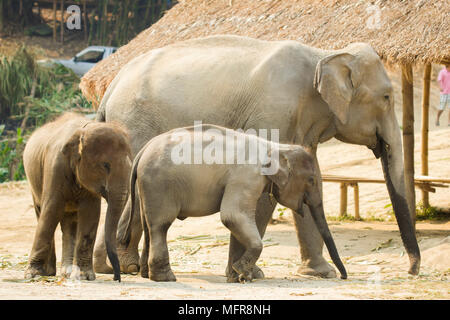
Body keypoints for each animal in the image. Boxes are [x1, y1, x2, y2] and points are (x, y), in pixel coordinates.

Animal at [23, 112, 132, 282]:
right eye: (105, 165)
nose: (117, 278)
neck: (84, 130)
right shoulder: (55, 166)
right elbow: (51, 210)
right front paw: (33, 274)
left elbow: (91, 213)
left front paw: (85, 276)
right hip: (33, 183)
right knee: (42, 212)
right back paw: (49, 272)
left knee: (70, 222)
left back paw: (67, 272)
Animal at [121, 124, 346, 282]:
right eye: (312, 180)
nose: (344, 276)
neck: (275, 146)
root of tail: (142, 151)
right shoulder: (247, 176)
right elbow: (232, 216)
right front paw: (242, 273)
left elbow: (237, 219)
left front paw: (237, 276)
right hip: (161, 185)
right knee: (160, 226)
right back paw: (166, 278)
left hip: (148, 188)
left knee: (148, 225)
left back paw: (146, 274)